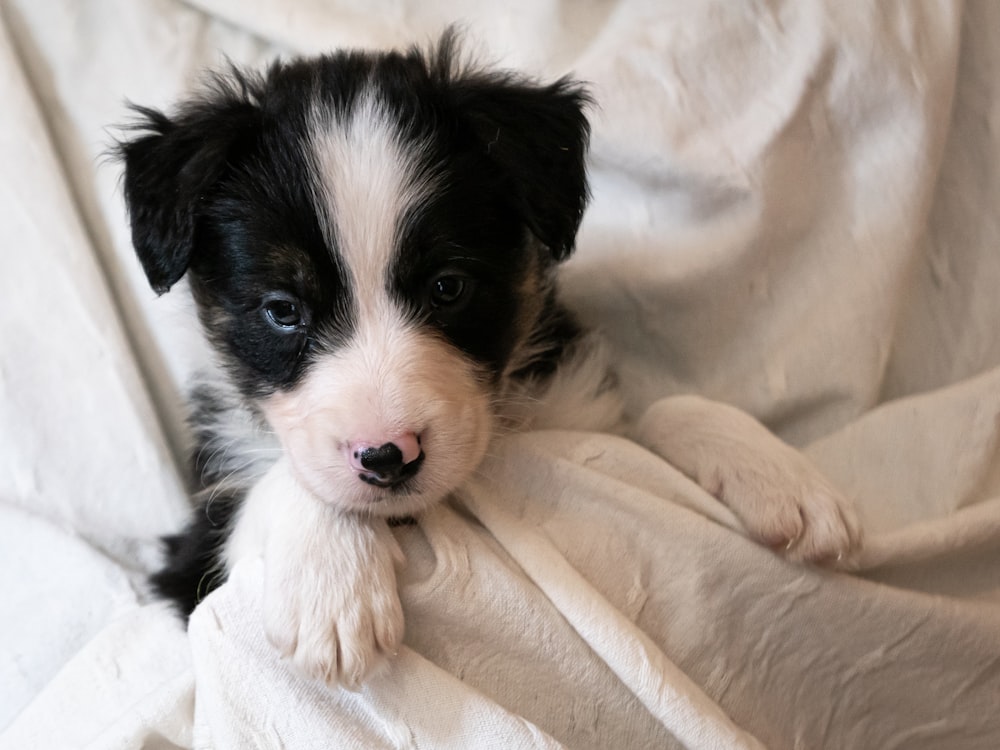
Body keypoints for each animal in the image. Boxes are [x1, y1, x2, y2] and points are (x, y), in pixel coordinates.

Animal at [117, 32, 864, 692]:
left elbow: (658, 413)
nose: (387, 457)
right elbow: (284, 487)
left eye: (449, 287)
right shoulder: (190, 561)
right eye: (281, 309)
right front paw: (331, 593)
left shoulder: (575, 408)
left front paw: (780, 479)